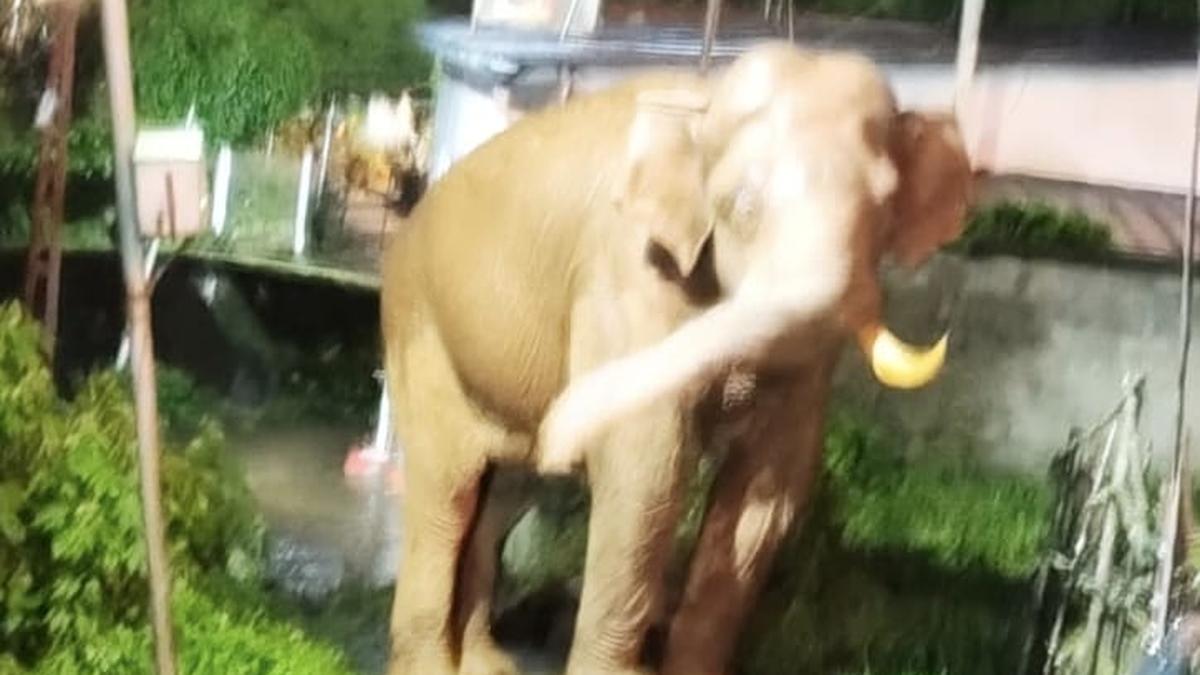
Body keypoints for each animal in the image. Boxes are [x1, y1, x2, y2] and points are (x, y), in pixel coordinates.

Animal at [379, 41, 972, 675]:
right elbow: (647, 470)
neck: (704, 96)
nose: (564, 429)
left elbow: (768, 492)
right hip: (420, 329)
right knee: (448, 494)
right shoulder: (626, 273)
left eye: (884, 210)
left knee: (503, 493)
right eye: (739, 206)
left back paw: (487, 661)